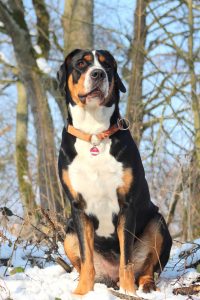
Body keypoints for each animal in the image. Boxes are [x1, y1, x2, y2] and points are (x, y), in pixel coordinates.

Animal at [56, 48, 172, 296]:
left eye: (107, 66)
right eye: (81, 64)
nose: (98, 74)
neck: (94, 134)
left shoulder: (127, 205)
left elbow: (126, 260)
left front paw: (128, 293)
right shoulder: (78, 208)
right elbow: (87, 259)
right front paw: (82, 293)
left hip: (157, 223)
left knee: (147, 268)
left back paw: (145, 286)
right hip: (69, 232)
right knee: (85, 264)